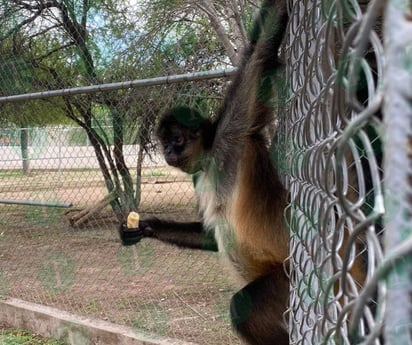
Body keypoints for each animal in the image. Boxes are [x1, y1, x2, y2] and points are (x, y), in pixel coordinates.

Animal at [134, 1, 288, 342]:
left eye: (176, 140)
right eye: (164, 142)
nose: (167, 152)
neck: (209, 161)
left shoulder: (232, 134)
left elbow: (258, 53)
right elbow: (208, 232)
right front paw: (147, 226)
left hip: (290, 279)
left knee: (242, 306)